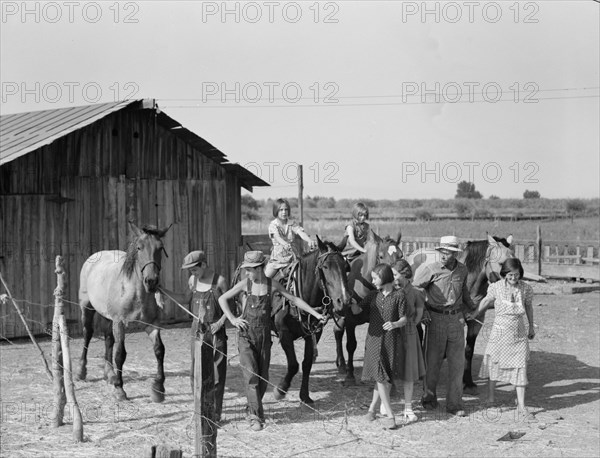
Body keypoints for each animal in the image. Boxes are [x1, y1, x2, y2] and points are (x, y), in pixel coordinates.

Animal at [76, 222, 171, 400]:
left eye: (160, 248)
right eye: (139, 247)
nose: (151, 281)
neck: (136, 293)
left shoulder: (152, 324)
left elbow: (159, 350)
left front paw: (159, 388)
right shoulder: (120, 323)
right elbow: (120, 354)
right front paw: (119, 389)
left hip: (107, 317)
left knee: (108, 339)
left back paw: (110, 374)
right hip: (87, 308)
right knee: (87, 334)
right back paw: (81, 372)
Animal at [236, 236, 352, 404]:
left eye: (346, 266)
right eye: (325, 267)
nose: (344, 301)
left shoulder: (314, 333)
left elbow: (306, 363)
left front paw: (304, 395)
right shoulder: (284, 333)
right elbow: (293, 365)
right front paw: (280, 390)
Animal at [332, 229, 404, 382]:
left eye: (401, 255)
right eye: (381, 256)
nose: (395, 280)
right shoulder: (350, 320)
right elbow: (351, 345)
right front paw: (350, 374)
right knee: (338, 332)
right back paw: (342, 365)